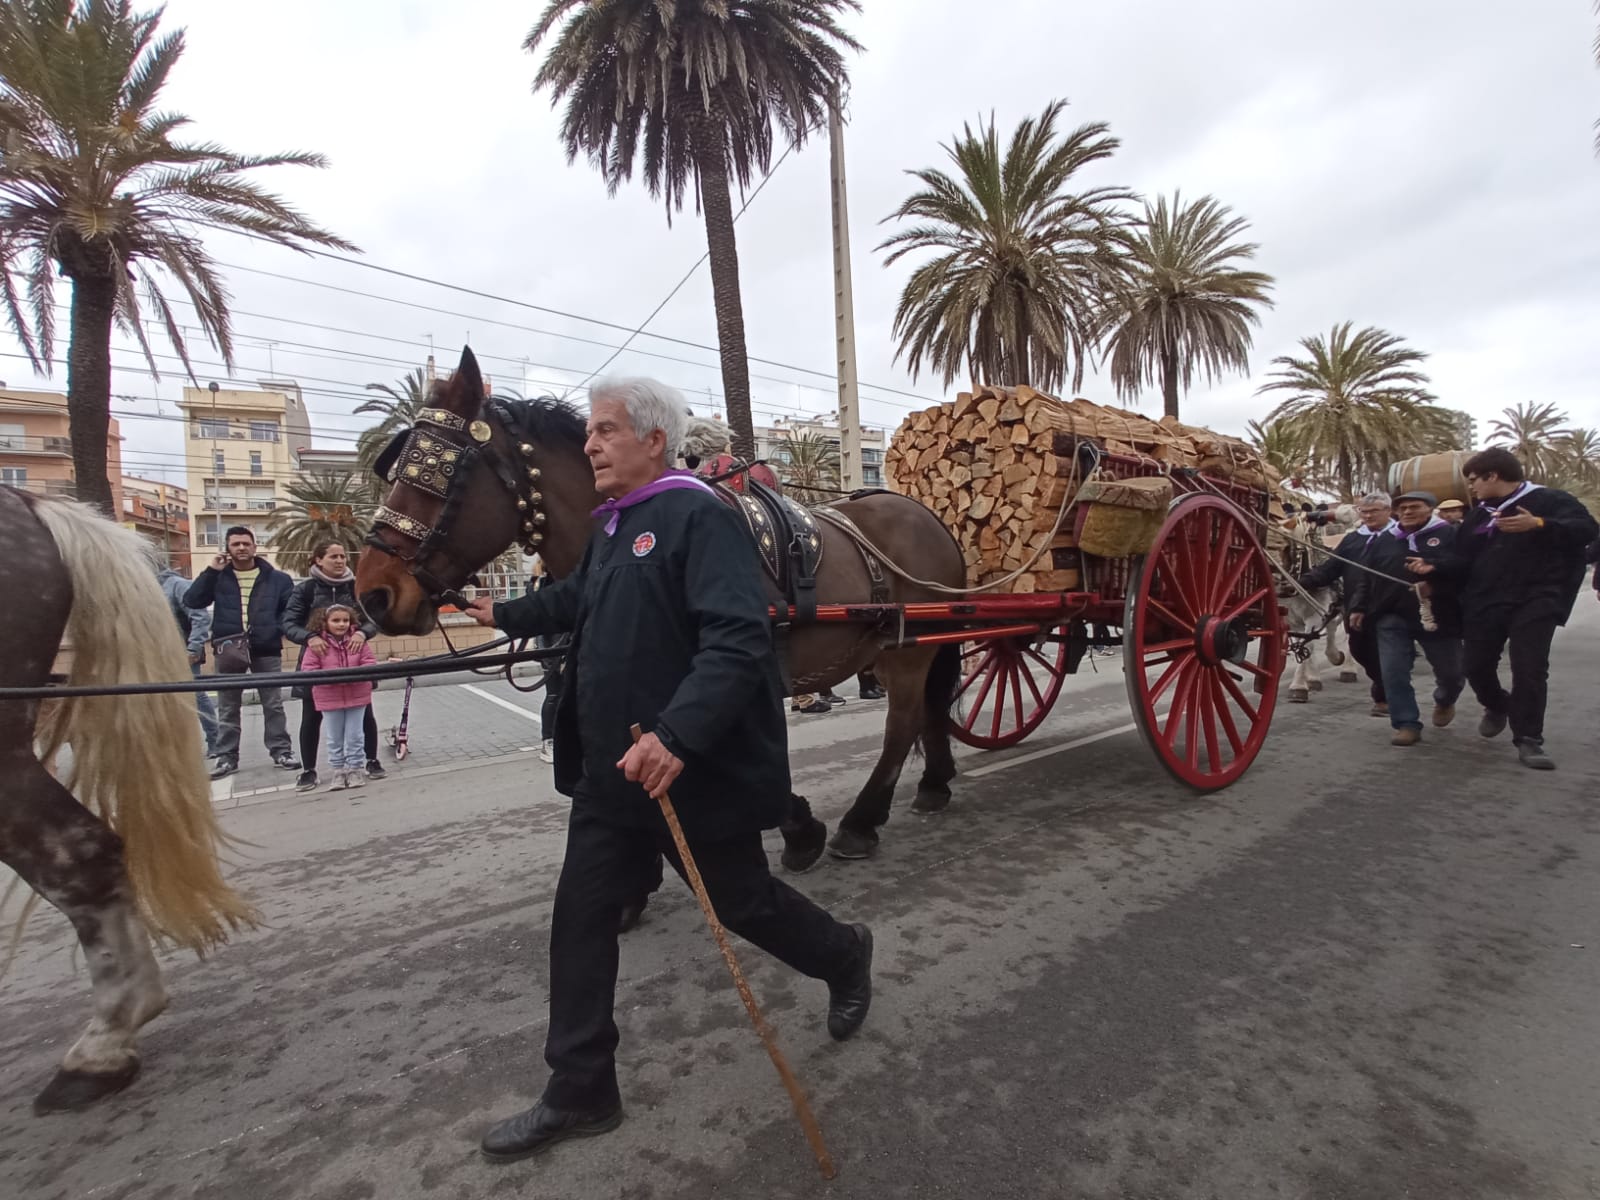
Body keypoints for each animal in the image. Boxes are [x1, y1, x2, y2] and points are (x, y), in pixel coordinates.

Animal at [358, 347, 960, 864]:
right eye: (400, 468)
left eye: (436, 471)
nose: (372, 593)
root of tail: (927, 517)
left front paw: (798, 828)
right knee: (927, 710)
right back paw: (933, 784)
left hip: (907, 649)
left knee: (903, 721)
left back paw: (861, 821)